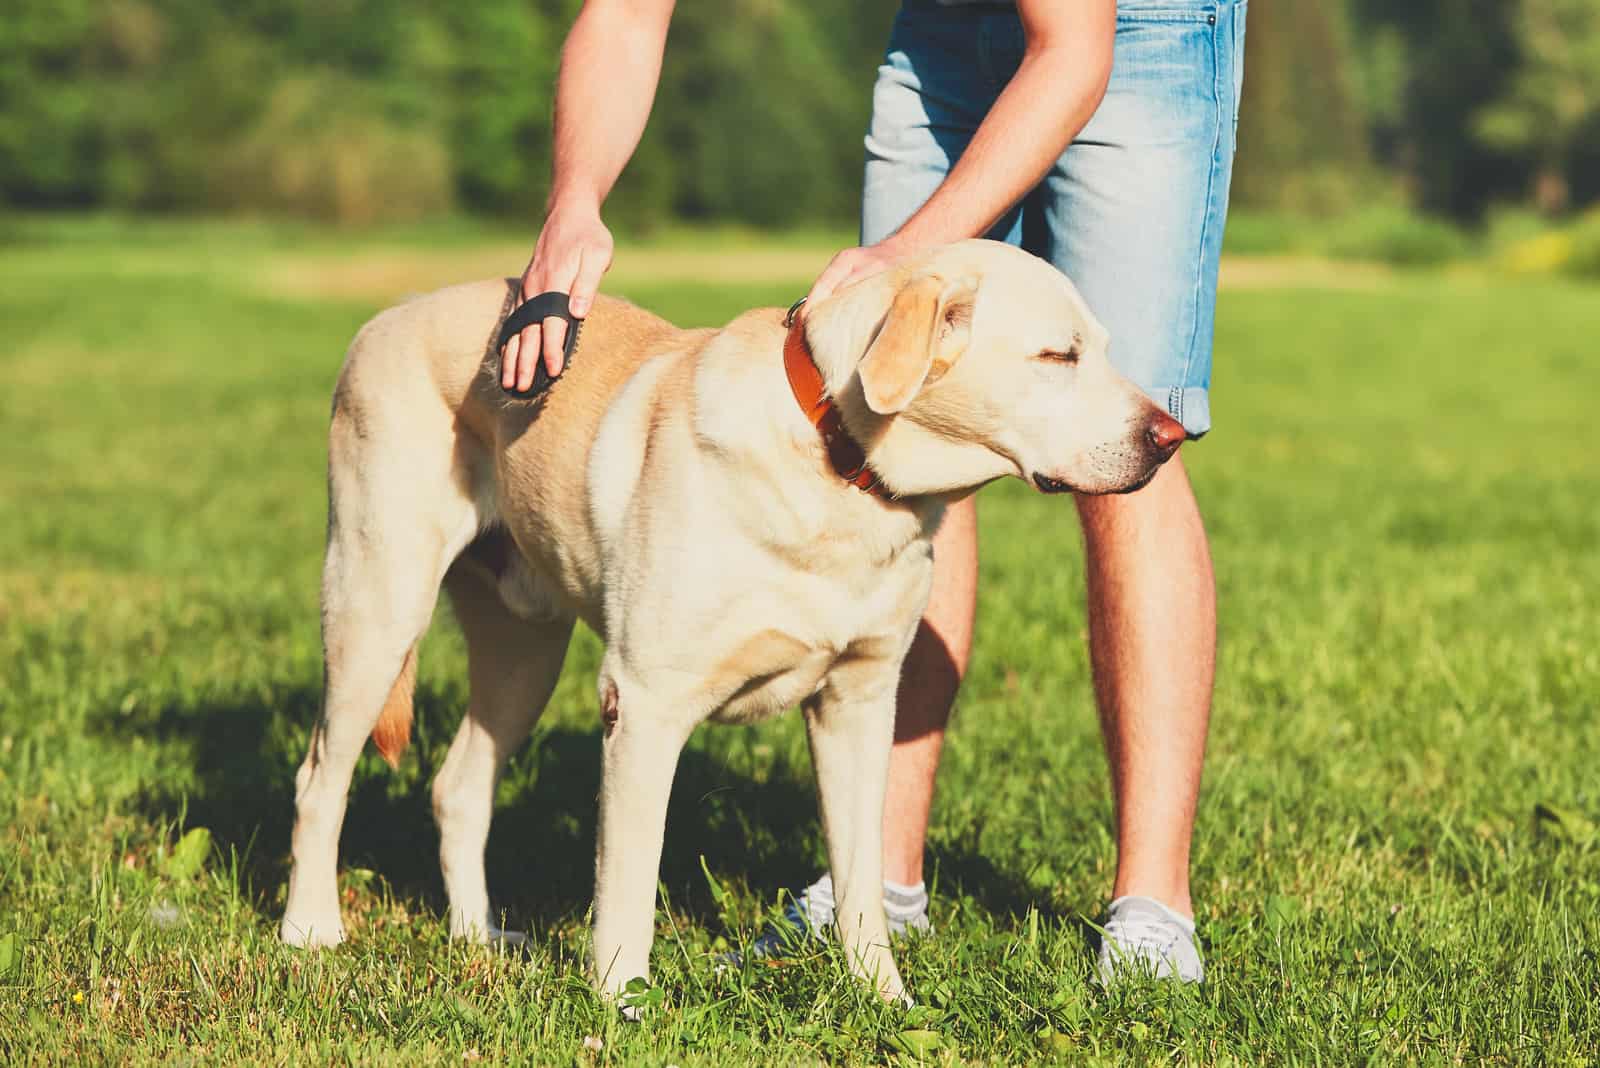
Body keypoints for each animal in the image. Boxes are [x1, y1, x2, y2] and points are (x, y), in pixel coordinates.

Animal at [281, 238, 1190, 1004]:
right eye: (1058, 357)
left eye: (1103, 349)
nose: (1173, 436)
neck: (840, 469)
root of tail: (387, 316)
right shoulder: (644, 706)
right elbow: (629, 879)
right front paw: (622, 1004)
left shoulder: (860, 706)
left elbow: (861, 881)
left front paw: (884, 1002)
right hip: (377, 603)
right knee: (320, 777)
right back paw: (310, 929)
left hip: (523, 653)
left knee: (458, 786)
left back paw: (477, 937)